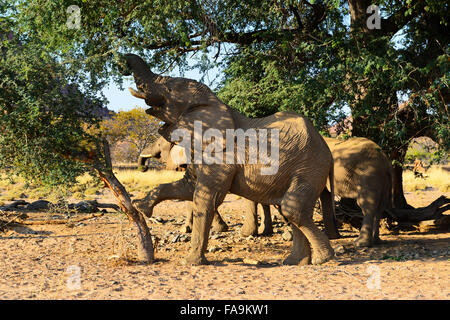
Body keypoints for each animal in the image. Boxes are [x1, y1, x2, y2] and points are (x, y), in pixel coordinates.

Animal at [121, 53, 336, 266]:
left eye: (170, 89)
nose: (122, 61)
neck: (212, 102)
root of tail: (326, 148)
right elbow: (187, 187)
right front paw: (141, 207)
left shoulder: (221, 157)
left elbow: (206, 199)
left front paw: (190, 262)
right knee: (287, 209)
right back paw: (294, 262)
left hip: (310, 166)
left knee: (293, 209)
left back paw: (323, 259)